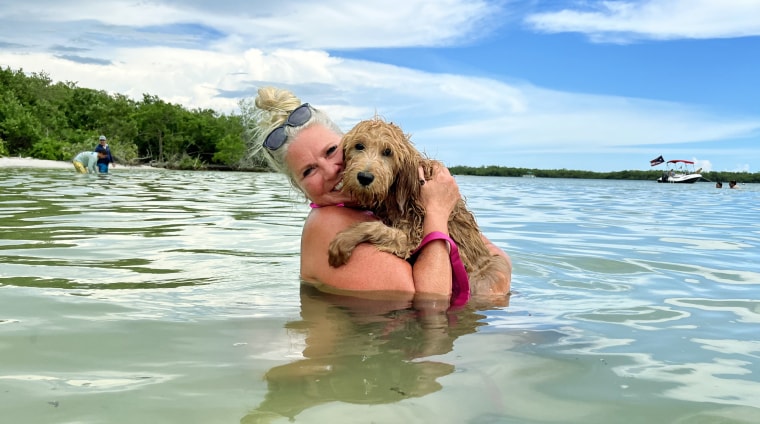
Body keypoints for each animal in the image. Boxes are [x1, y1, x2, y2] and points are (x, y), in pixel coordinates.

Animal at [326, 117, 510, 296]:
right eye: (359, 146)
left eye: (388, 152)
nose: (364, 177)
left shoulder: (413, 238)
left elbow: (378, 228)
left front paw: (346, 238)